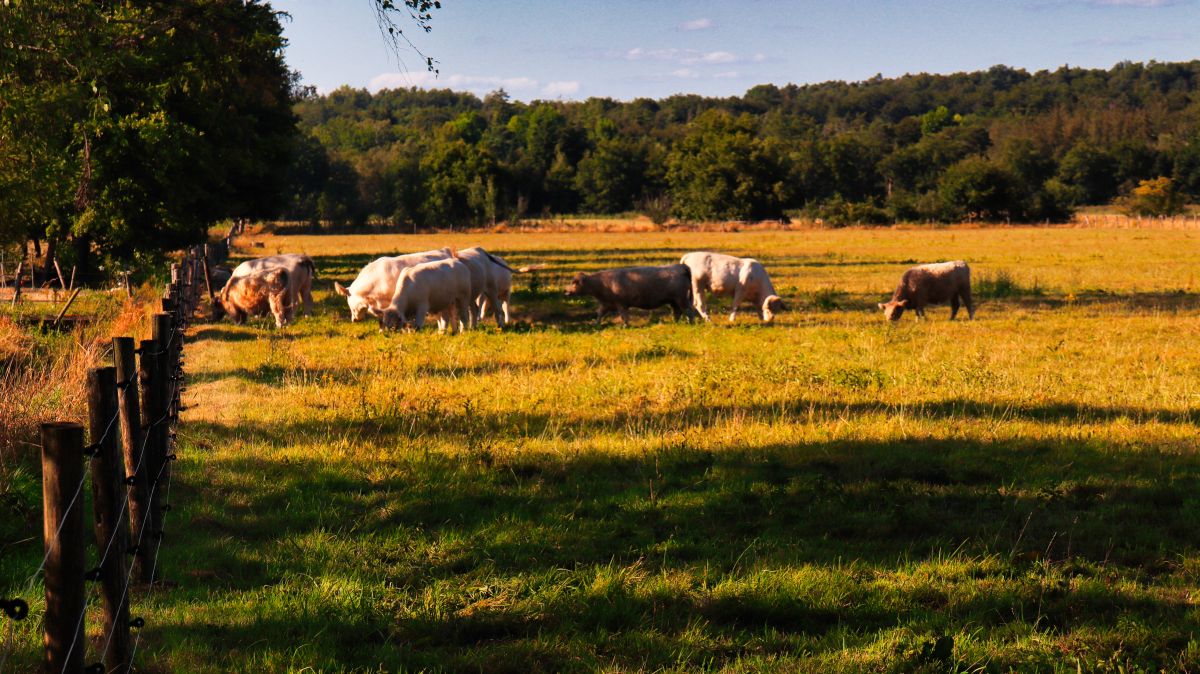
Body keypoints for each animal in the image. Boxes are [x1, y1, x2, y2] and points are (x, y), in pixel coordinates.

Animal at [564, 263, 696, 323]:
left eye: (575, 283)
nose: (566, 291)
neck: (603, 283)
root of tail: (680, 266)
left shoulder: (621, 303)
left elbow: (624, 315)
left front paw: (625, 325)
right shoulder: (606, 304)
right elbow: (600, 313)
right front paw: (596, 324)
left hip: (681, 298)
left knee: (689, 311)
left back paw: (691, 323)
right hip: (674, 301)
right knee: (677, 312)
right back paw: (675, 322)